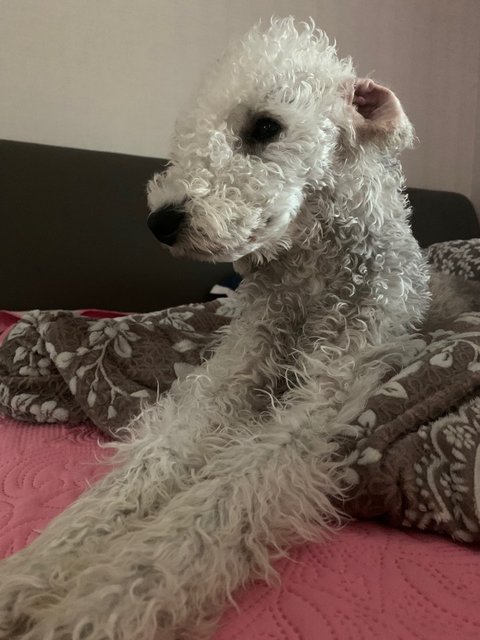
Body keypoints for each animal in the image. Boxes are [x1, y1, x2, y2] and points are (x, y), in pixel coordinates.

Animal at [0, 17, 429, 640]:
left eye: (265, 127)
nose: (160, 221)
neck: (310, 277)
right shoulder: (227, 377)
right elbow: (143, 472)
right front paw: (30, 575)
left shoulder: (316, 411)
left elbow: (217, 504)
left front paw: (97, 608)